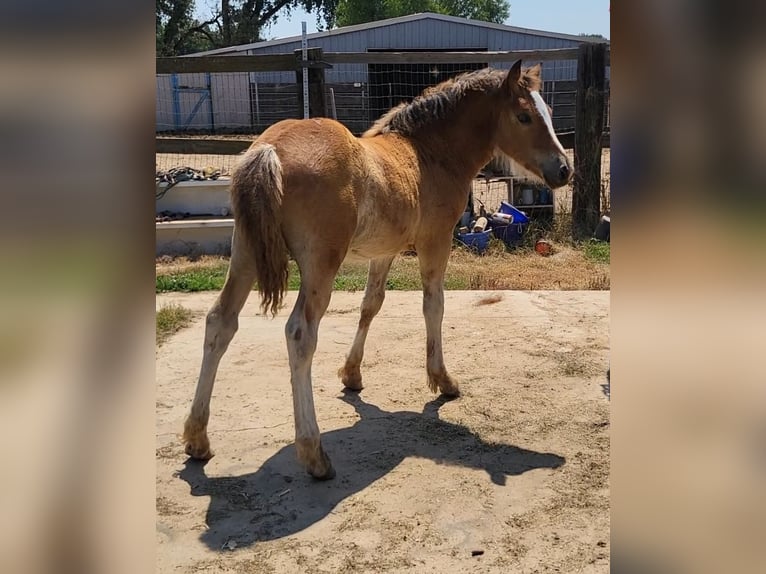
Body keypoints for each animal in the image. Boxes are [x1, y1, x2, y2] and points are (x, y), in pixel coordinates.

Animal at [183, 59, 572, 482]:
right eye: (524, 116)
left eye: (550, 112)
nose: (564, 170)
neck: (429, 152)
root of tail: (269, 149)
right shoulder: (436, 241)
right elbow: (433, 305)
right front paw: (442, 380)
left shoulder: (384, 252)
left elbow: (371, 304)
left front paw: (352, 375)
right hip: (319, 264)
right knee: (300, 334)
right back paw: (314, 453)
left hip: (246, 252)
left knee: (220, 322)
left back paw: (197, 439)